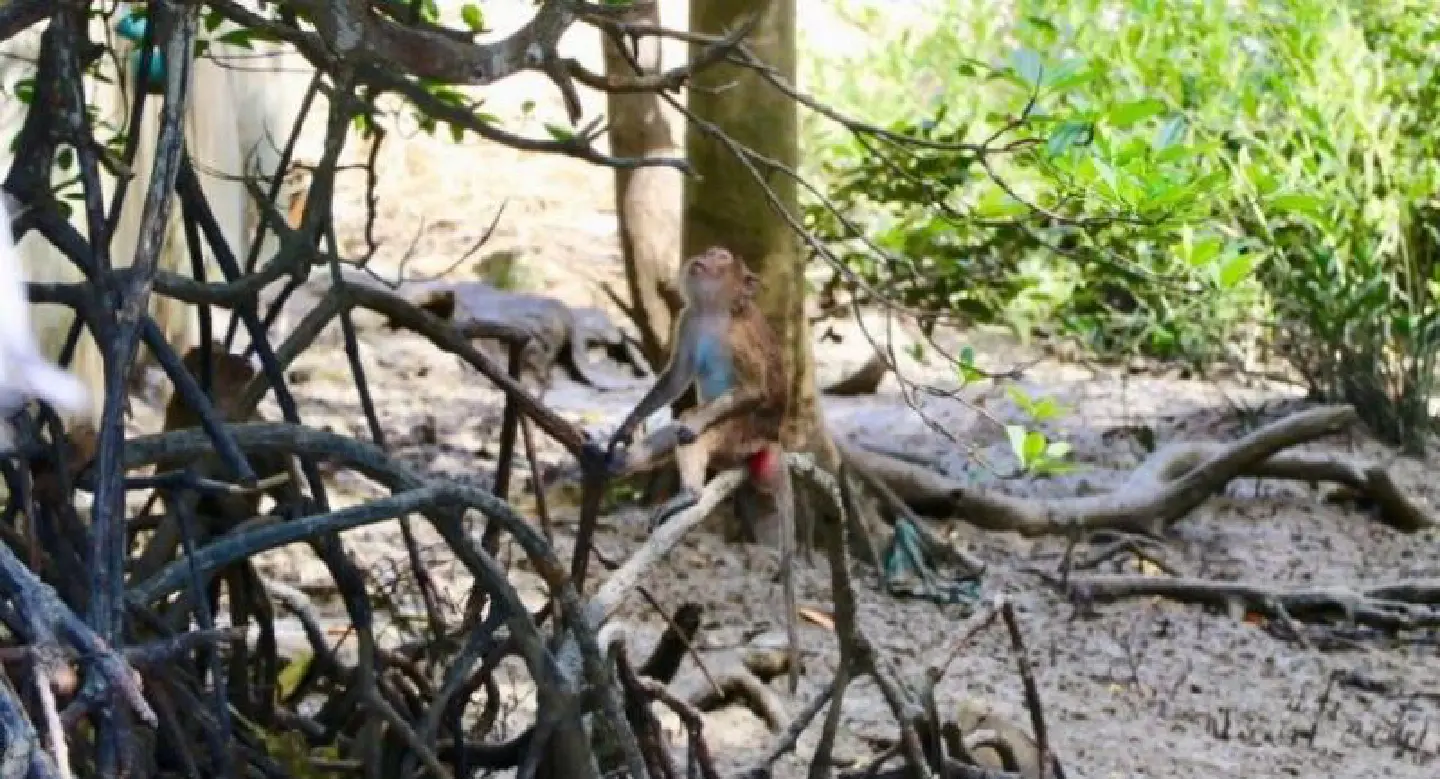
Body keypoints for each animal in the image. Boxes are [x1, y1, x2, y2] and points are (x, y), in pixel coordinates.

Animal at [600, 246, 801, 693]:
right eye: (713, 251)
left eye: (723, 258)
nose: (705, 257)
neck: (713, 310)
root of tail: (772, 442)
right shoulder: (689, 319)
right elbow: (676, 378)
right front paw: (626, 428)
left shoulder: (737, 336)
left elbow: (751, 390)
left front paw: (695, 422)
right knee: (672, 431)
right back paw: (620, 462)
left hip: (743, 438)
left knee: (696, 426)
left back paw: (689, 490)